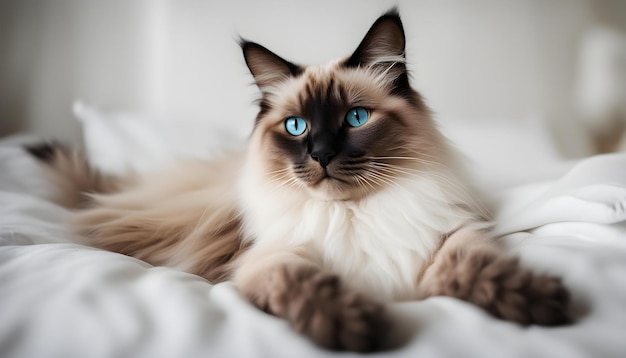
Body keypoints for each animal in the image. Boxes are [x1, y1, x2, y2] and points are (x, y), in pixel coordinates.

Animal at [26, 9, 568, 354]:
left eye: (355, 118)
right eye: (296, 127)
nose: (322, 155)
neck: (355, 213)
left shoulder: (447, 237)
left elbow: (476, 266)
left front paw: (537, 301)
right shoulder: (271, 259)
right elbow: (308, 284)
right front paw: (355, 327)